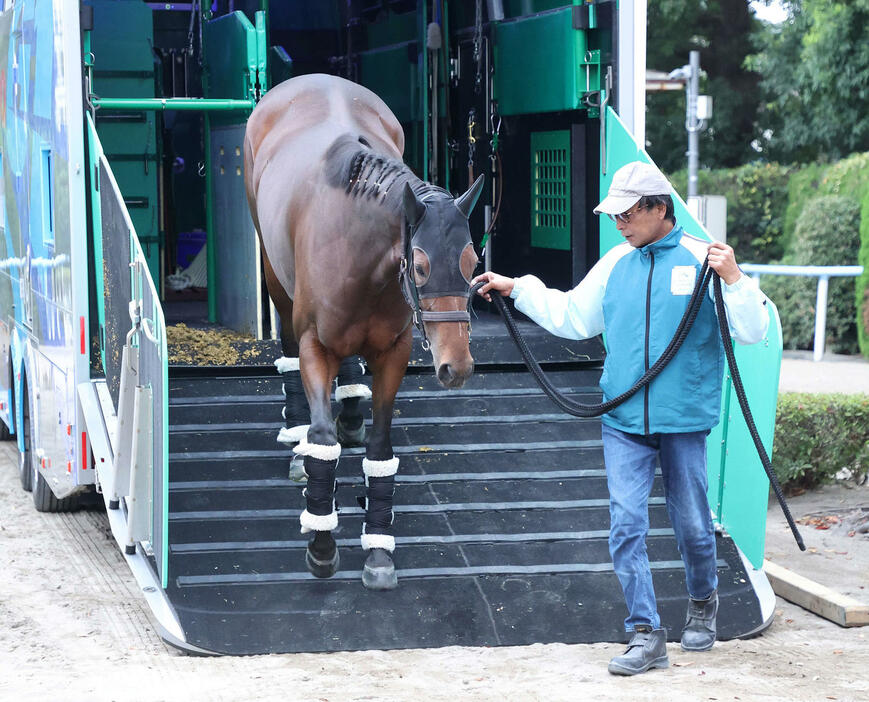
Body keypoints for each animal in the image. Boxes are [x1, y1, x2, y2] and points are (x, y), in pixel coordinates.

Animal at [244, 74, 484, 592]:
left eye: (474, 262)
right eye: (420, 265)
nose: (456, 366)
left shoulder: (393, 352)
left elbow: (379, 448)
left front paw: (378, 550)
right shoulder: (316, 347)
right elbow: (322, 440)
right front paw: (321, 545)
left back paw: (351, 413)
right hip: (275, 278)